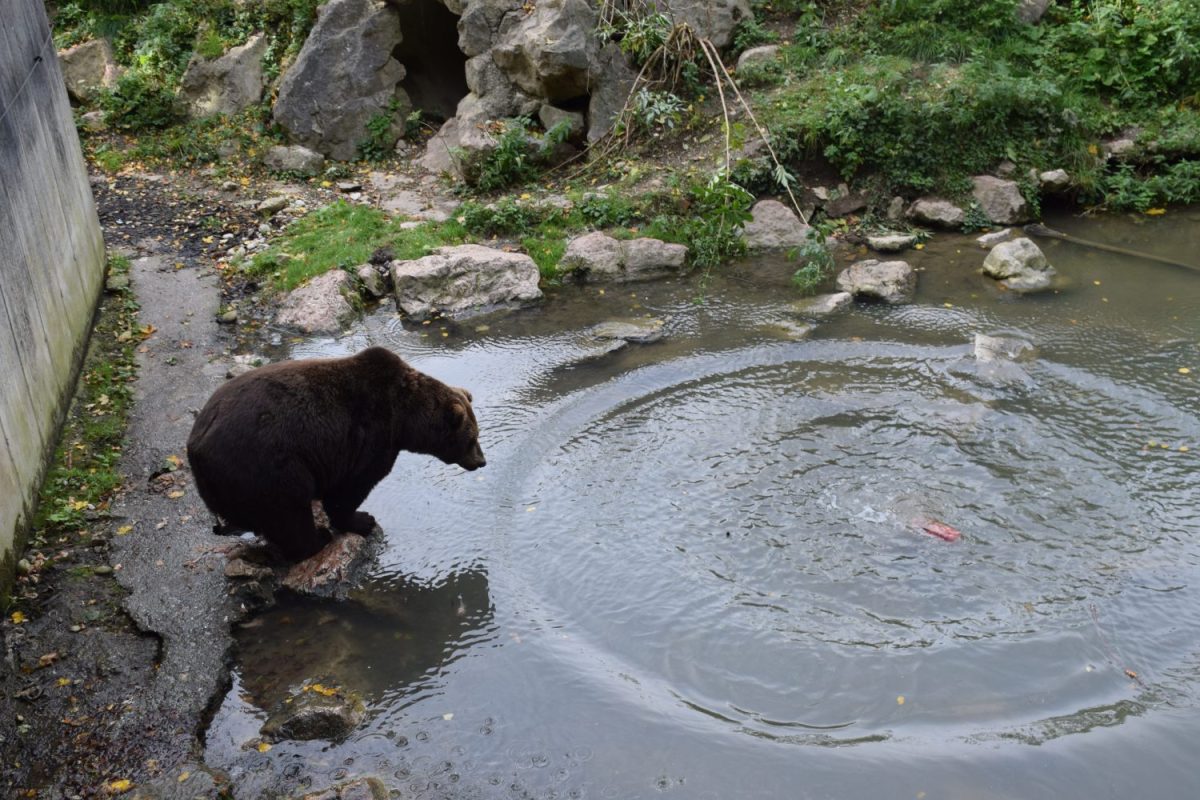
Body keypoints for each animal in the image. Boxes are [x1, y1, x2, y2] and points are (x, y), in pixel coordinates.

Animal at [184, 345, 484, 563]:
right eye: (472, 439)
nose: (482, 461)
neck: (405, 418)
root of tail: (196, 446)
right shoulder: (369, 437)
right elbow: (351, 488)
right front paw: (363, 519)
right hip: (265, 465)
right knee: (288, 511)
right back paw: (317, 538)